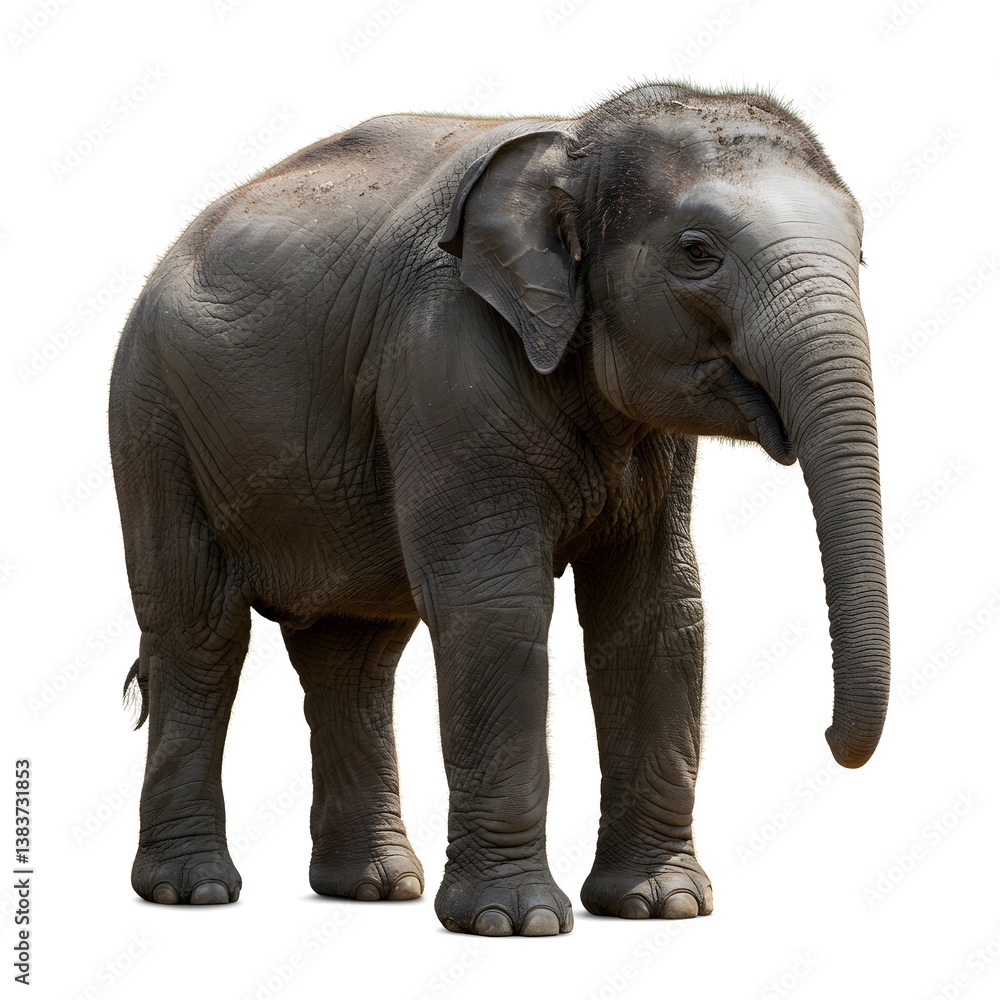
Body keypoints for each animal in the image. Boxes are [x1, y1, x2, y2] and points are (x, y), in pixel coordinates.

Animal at [109, 81, 889, 936]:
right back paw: (193, 892)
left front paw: (661, 907)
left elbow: (657, 613)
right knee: (200, 632)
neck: (576, 137)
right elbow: (495, 606)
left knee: (353, 654)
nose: (828, 736)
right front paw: (518, 923)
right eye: (696, 251)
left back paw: (375, 887)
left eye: (860, 251)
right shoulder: (445, 358)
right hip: (152, 419)